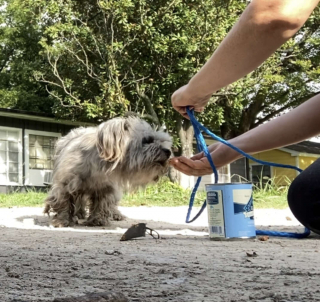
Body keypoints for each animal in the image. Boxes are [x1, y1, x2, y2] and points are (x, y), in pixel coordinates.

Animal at [44, 117, 172, 228]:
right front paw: (62, 220)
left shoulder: (106, 187)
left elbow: (102, 203)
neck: (99, 167)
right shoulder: (64, 184)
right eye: (147, 140)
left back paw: (116, 214)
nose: (168, 151)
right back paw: (79, 214)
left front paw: (97, 220)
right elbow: (63, 202)